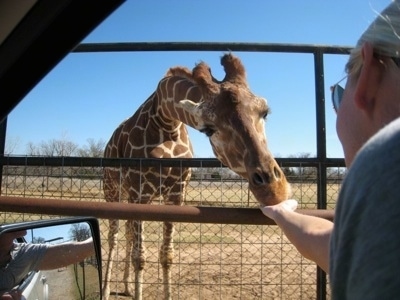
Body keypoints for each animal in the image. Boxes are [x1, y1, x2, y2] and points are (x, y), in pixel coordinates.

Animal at [102, 52, 290, 298]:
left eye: (265, 113)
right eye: (208, 129)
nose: (274, 190)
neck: (166, 122)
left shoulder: (176, 195)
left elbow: (167, 255)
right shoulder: (139, 193)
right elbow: (140, 258)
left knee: (127, 234)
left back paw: (125, 285)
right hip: (113, 190)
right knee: (113, 237)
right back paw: (106, 290)